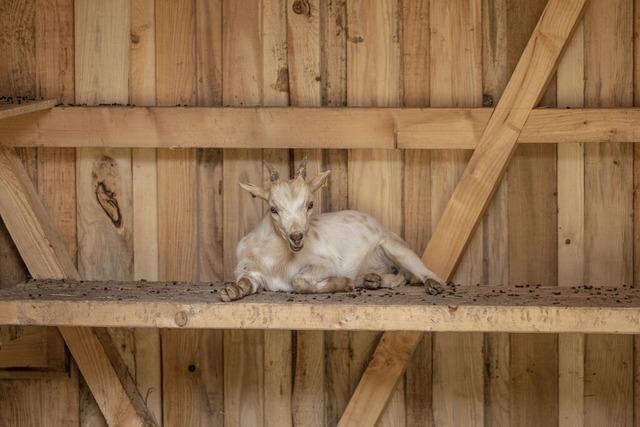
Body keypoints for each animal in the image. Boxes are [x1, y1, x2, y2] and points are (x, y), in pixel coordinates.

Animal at [218, 159, 442, 302]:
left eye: (310, 204)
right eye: (273, 209)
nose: (296, 237)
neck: (277, 261)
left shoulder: (325, 264)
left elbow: (298, 281)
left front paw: (345, 283)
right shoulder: (250, 271)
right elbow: (245, 283)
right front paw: (230, 291)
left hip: (394, 247)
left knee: (416, 274)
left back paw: (432, 285)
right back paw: (372, 280)